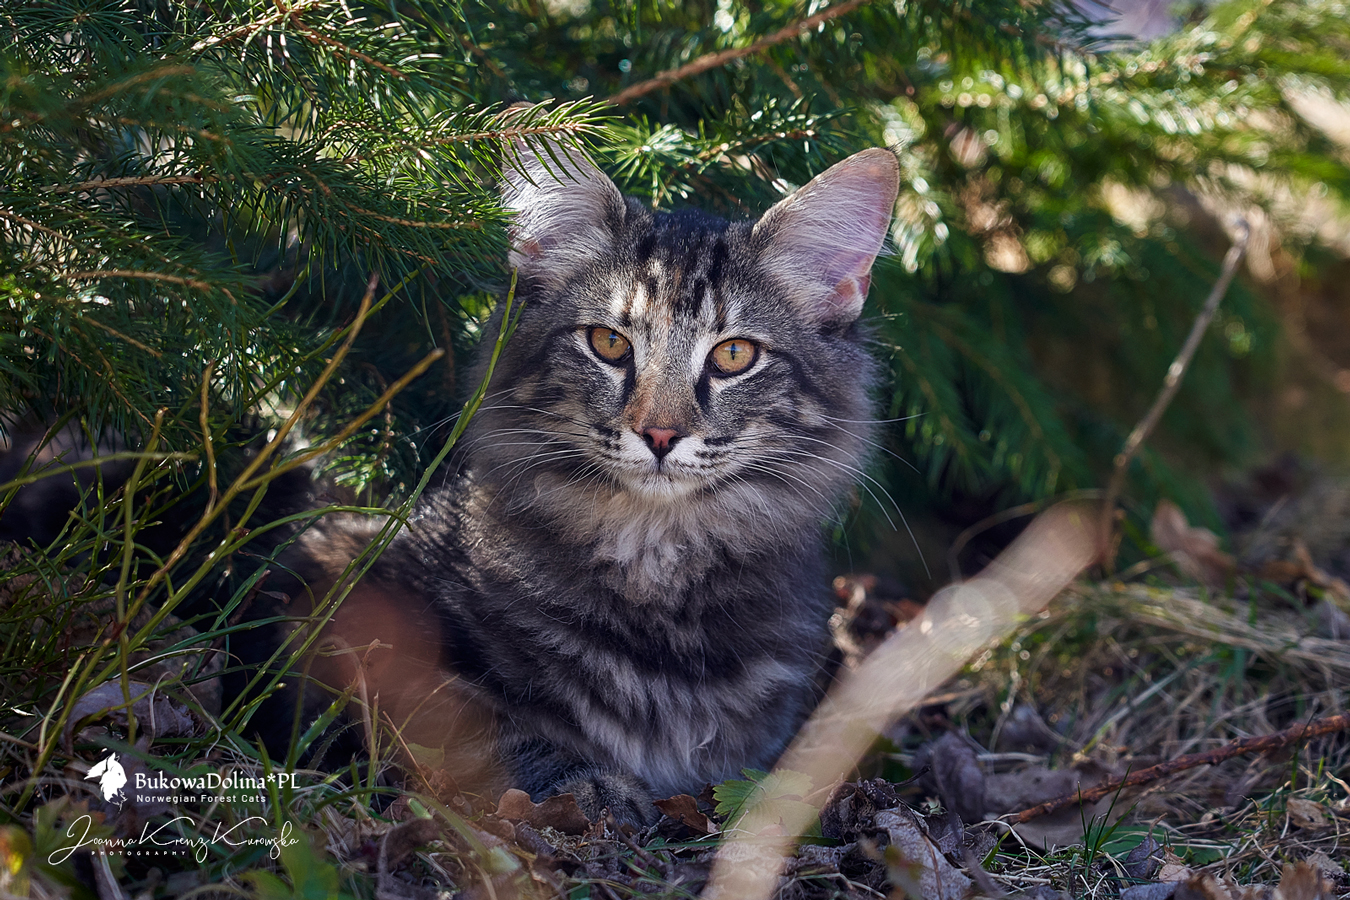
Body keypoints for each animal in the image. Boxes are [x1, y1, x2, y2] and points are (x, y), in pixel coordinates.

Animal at [273, 139, 900, 824]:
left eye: (734, 356)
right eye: (608, 343)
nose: (659, 433)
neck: (656, 560)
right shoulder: (341, 602)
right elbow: (484, 727)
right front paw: (593, 788)